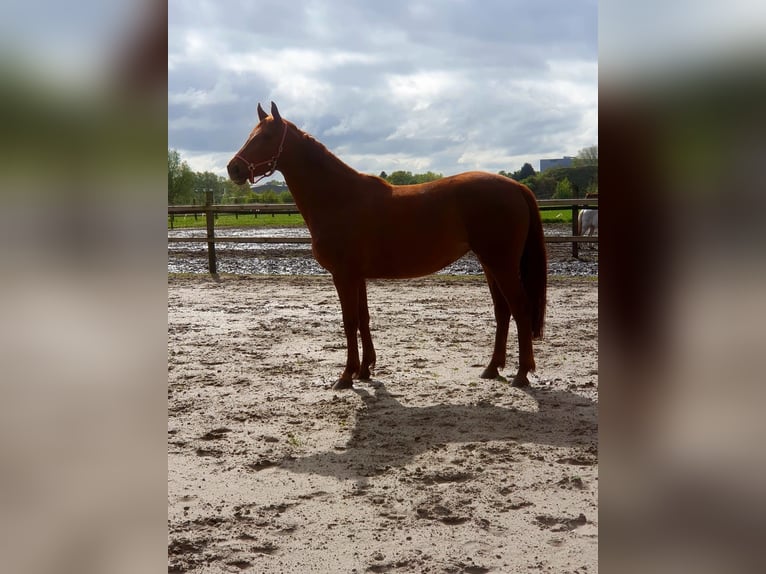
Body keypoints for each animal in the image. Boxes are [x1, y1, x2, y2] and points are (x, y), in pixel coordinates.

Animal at [226, 103, 544, 392]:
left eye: (266, 137)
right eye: (251, 134)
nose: (233, 168)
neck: (339, 198)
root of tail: (516, 187)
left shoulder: (343, 275)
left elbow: (349, 321)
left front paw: (346, 375)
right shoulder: (357, 276)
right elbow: (363, 319)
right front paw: (365, 370)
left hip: (501, 264)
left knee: (521, 309)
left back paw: (521, 374)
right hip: (490, 264)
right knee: (503, 311)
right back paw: (492, 368)